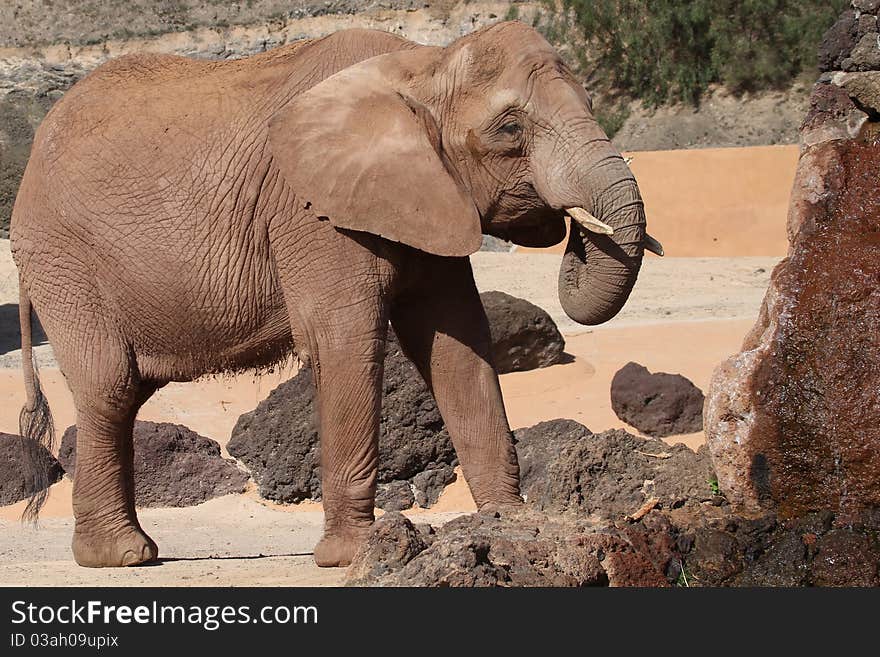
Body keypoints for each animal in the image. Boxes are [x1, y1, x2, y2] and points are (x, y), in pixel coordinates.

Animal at [12, 23, 660, 568]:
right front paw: (352, 556)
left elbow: (458, 346)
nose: (573, 232)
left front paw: (509, 528)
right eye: (509, 130)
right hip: (62, 260)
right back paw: (122, 557)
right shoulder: (313, 213)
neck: (426, 63)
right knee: (109, 386)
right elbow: (346, 341)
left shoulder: (427, 198)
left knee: (125, 393)